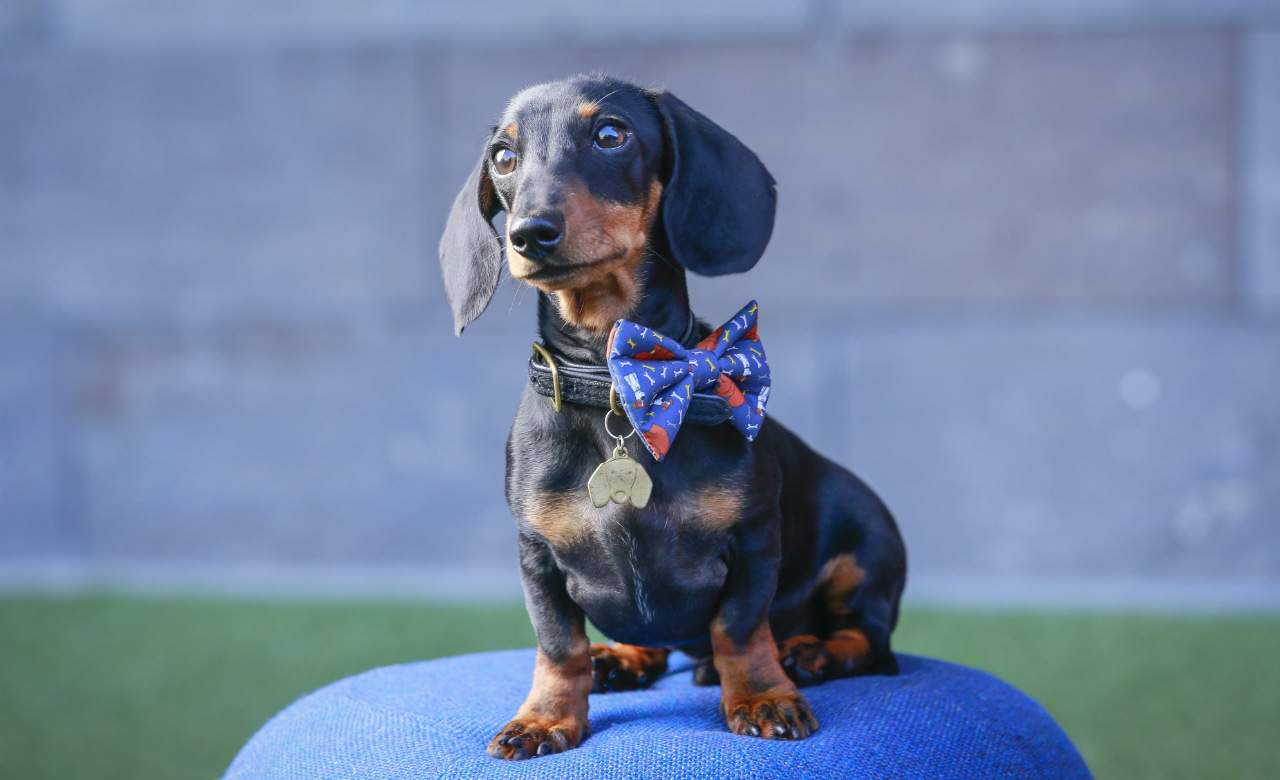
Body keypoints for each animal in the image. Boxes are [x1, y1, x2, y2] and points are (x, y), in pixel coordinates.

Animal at [440, 76, 911, 758]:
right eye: (503, 156)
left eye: (611, 134)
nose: (529, 233)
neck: (616, 379)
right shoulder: (536, 554)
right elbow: (559, 646)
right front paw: (545, 718)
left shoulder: (753, 539)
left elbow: (740, 630)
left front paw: (762, 697)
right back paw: (625, 658)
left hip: (867, 550)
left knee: (868, 640)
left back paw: (809, 653)